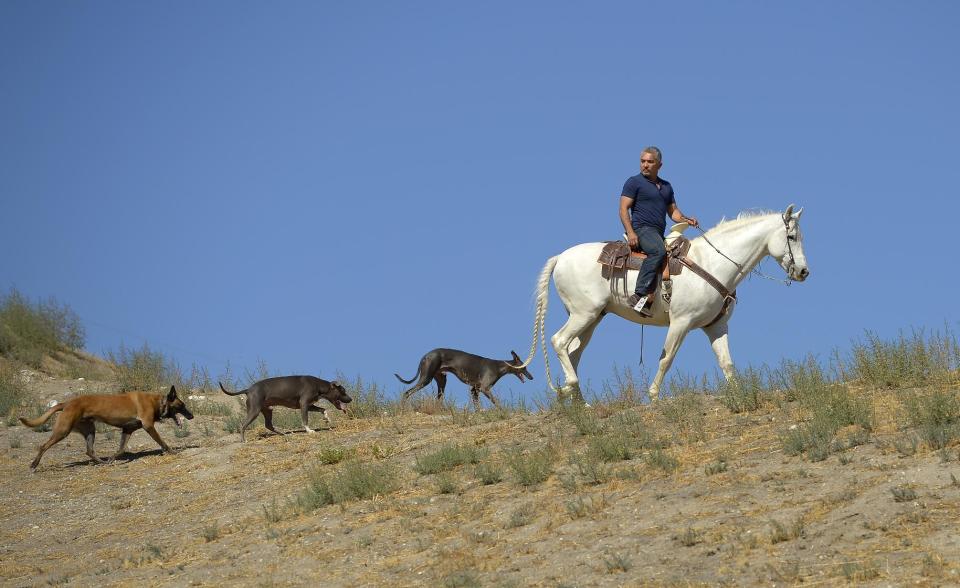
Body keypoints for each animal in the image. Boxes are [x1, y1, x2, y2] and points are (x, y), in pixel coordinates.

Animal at [19, 386, 194, 468]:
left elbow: (121, 449)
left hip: (90, 431)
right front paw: (172, 451)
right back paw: (34, 465)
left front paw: (111, 458)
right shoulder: (148, 426)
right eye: (182, 405)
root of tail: (66, 403)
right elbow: (162, 442)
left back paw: (102, 462)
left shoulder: (127, 430)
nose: (191, 416)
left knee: (89, 451)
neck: (158, 402)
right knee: (43, 446)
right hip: (63, 431)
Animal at [218, 376, 352, 440]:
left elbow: (323, 409)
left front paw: (326, 419)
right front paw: (309, 430)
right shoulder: (304, 404)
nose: (350, 399)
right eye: (343, 391)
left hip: (268, 410)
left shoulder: (308, 405)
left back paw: (283, 433)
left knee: (268, 425)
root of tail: (248, 390)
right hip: (254, 410)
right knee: (243, 425)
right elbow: (305, 420)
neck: (318, 385)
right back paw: (243, 441)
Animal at [396, 350, 532, 408]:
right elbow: (496, 402)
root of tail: (426, 355)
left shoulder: (474, 390)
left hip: (442, 381)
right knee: (406, 393)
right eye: (525, 367)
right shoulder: (484, 388)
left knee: (438, 399)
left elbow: (477, 407)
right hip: (426, 379)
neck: (499, 366)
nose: (532, 377)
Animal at [524, 204, 808, 402]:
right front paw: (654, 396)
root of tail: (561, 257)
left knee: (573, 353)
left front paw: (740, 395)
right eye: (792, 236)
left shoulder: (716, 327)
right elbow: (666, 359)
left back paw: (579, 403)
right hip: (583, 314)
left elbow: (727, 363)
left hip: (592, 318)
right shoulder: (681, 323)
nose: (804, 271)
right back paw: (569, 389)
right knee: (559, 341)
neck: (713, 263)